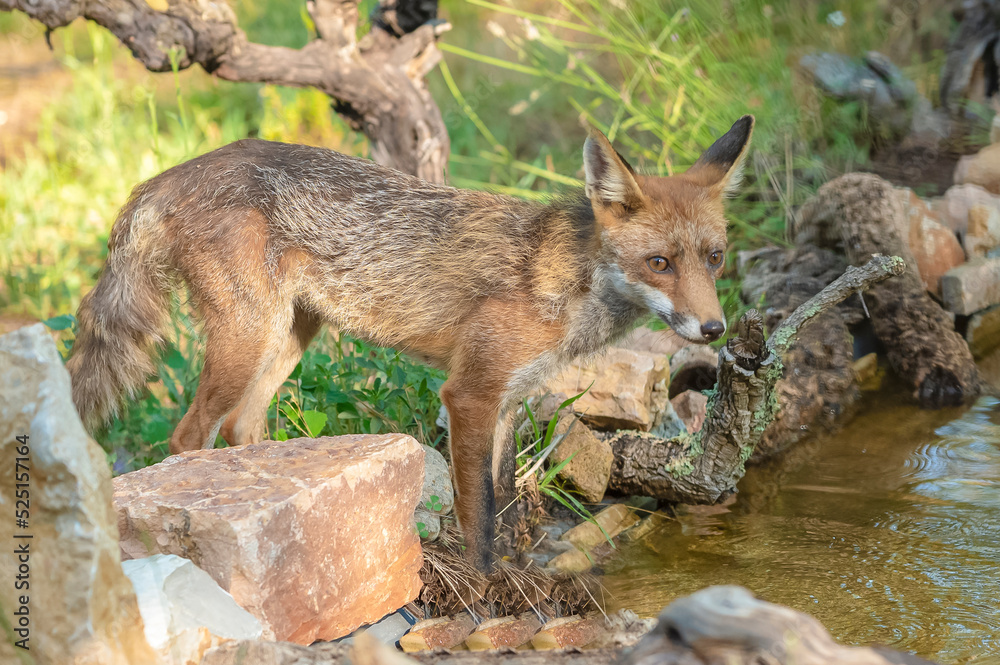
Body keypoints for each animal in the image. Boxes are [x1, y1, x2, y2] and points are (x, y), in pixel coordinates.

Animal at [67, 114, 754, 571]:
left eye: (715, 258)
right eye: (659, 263)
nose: (714, 330)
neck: (568, 286)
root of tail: (163, 177)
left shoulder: (508, 401)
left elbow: (505, 502)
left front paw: (514, 571)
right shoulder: (470, 394)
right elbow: (478, 511)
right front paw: (487, 587)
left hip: (289, 339)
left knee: (241, 427)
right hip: (247, 338)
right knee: (188, 437)